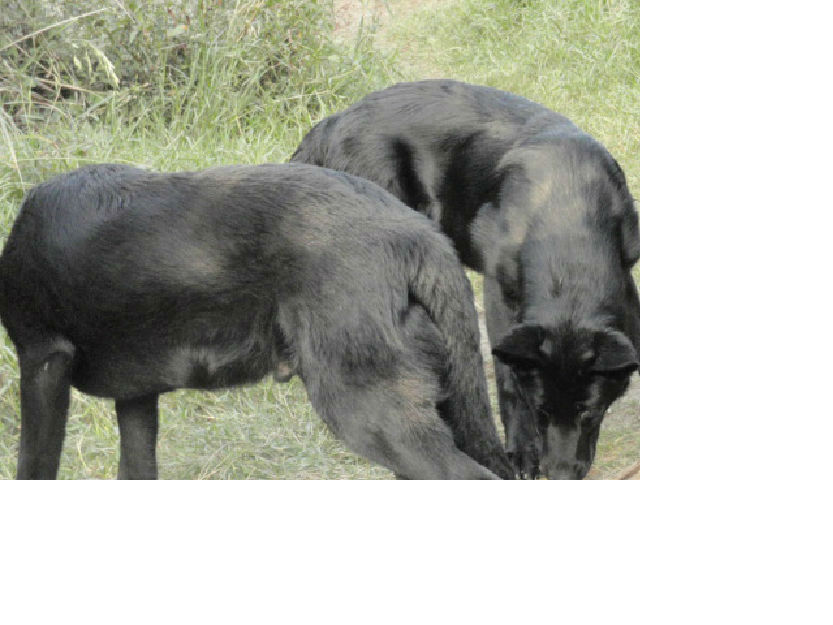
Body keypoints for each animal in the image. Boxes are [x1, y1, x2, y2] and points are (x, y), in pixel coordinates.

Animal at [290, 78, 640, 478]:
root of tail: (331, 123)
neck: (567, 222)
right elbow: (507, 380)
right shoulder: (499, 294)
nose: (559, 475)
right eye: (541, 411)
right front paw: (521, 451)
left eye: (588, 412)